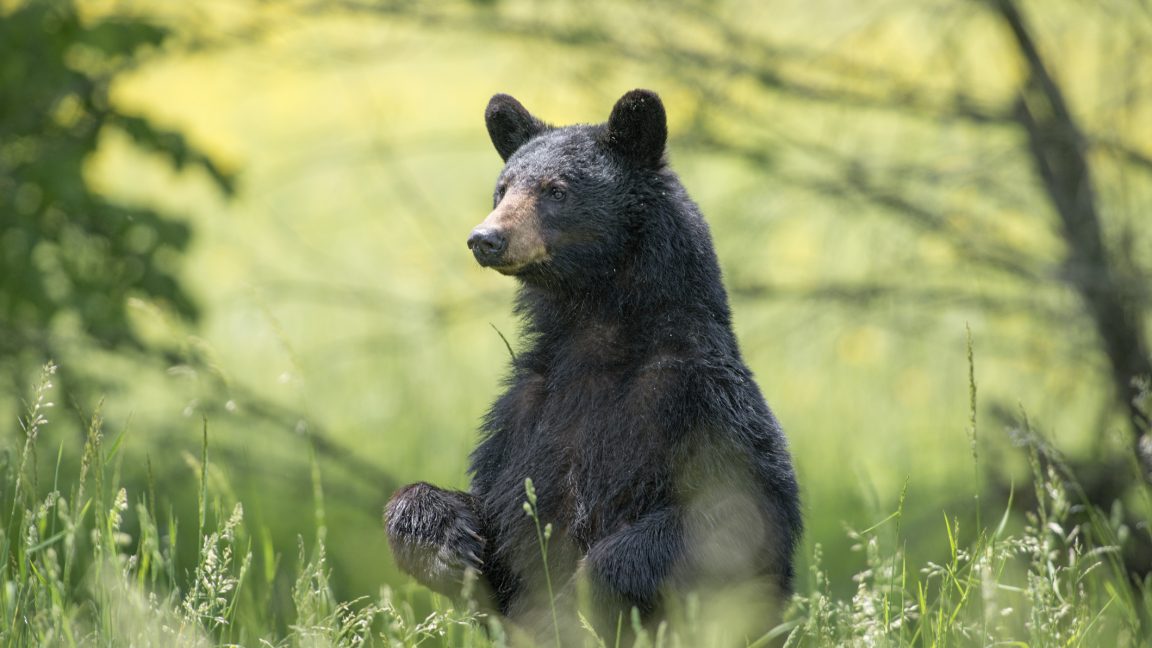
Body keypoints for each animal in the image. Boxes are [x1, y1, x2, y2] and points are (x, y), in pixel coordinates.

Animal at [387, 91, 801, 641]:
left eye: (556, 190)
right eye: (502, 189)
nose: (485, 238)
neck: (595, 338)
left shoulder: (701, 399)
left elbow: (734, 513)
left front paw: (584, 596)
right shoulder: (522, 416)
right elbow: (496, 512)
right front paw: (445, 545)